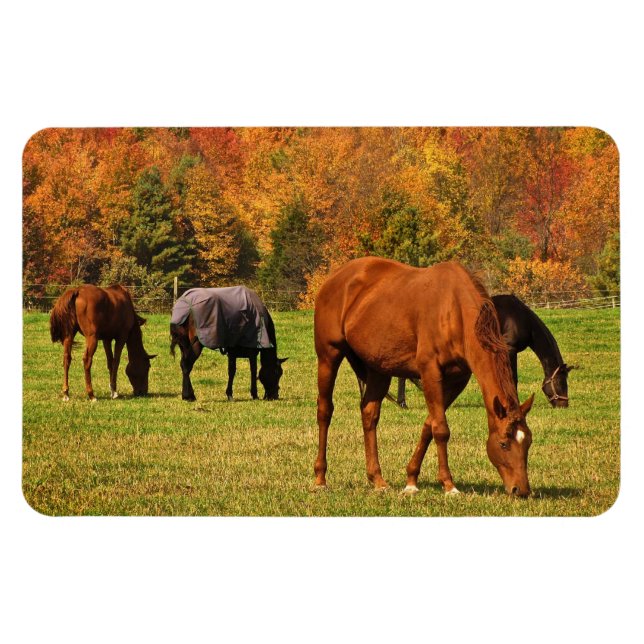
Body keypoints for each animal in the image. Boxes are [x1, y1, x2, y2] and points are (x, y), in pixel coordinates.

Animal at [314, 257, 535, 497]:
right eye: (504, 443)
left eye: (528, 442)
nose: (521, 489)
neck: (453, 310)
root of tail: (335, 278)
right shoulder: (430, 372)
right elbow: (441, 429)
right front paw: (449, 485)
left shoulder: (457, 380)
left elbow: (429, 425)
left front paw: (411, 480)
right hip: (328, 357)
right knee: (325, 411)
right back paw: (320, 478)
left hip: (379, 369)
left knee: (369, 414)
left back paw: (378, 479)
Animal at [394, 294, 576, 409]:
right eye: (561, 382)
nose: (564, 405)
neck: (521, 318)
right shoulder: (510, 350)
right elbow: (512, 378)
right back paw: (403, 403)